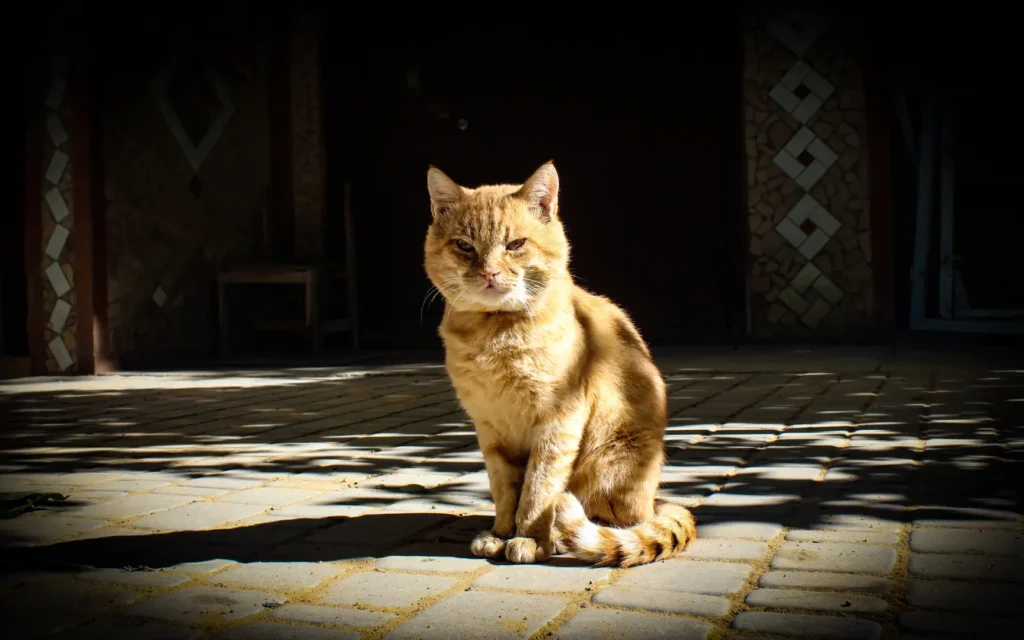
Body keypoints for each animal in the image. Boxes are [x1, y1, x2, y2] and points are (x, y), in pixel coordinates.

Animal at [423, 160, 696, 565]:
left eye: (515, 245)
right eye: (464, 246)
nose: (488, 273)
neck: (495, 334)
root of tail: (653, 504)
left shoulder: (558, 421)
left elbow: (539, 490)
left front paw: (529, 539)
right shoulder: (490, 429)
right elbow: (505, 489)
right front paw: (500, 533)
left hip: (613, 463)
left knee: (613, 521)